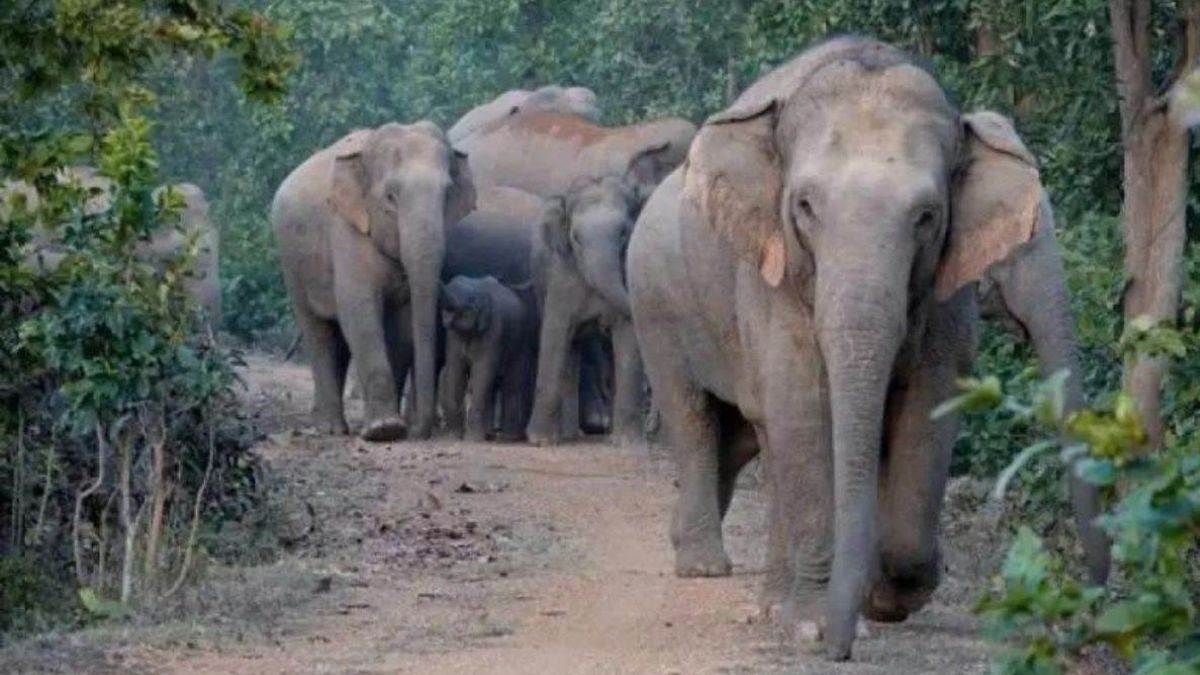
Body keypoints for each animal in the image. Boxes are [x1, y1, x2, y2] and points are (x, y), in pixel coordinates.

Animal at [271, 122, 474, 442]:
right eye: (391, 197)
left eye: (448, 193)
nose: (419, 432)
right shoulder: (345, 228)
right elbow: (360, 310)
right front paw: (384, 430)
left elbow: (402, 325)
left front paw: (390, 428)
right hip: (290, 262)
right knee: (318, 331)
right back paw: (331, 429)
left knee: (339, 342)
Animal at [438, 275, 537, 441]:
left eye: (471, 302)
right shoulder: (452, 337)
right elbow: (455, 370)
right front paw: (452, 437)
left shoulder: (494, 332)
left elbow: (482, 371)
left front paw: (473, 440)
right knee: (493, 386)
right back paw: (489, 434)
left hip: (520, 342)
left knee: (511, 383)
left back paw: (507, 437)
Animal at [524, 175, 646, 446]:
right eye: (576, 238)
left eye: (624, 233)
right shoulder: (561, 273)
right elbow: (555, 335)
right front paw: (540, 441)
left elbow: (627, 338)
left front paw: (627, 442)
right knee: (570, 349)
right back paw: (567, 435)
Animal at [627, 37, 1106, 661]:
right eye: (804, 206)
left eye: (927, 216)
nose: (841, 647)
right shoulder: (771, 271)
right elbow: (803, 402)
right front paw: (812, 626)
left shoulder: (943, 287)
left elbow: (927, 402)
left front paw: (886, 600)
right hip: (654, 302)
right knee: (693, 415)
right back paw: (706, 567)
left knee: (750, 435)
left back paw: (764, 596)